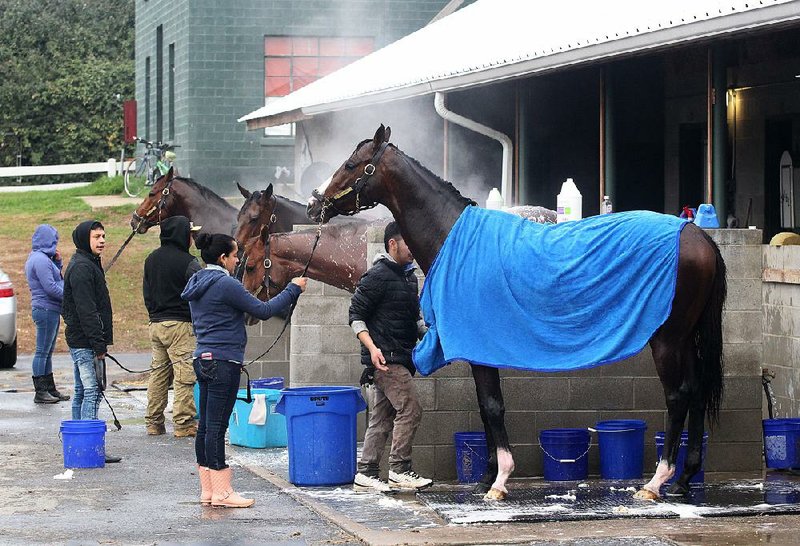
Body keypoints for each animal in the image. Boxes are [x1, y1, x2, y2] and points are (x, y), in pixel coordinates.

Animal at [304, 125, 724, 500]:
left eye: (351, 164)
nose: (313, 204)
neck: (453, 236)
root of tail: (696, 234)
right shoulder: (479, 349)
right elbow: (485, 406)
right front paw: (485, 476)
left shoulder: (480, 345)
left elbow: (492, 407)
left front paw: (500, 481)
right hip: (686, 337)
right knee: (696, 391)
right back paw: (685, 480)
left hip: (666, 340)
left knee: (678, 397)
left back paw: (655, 483)